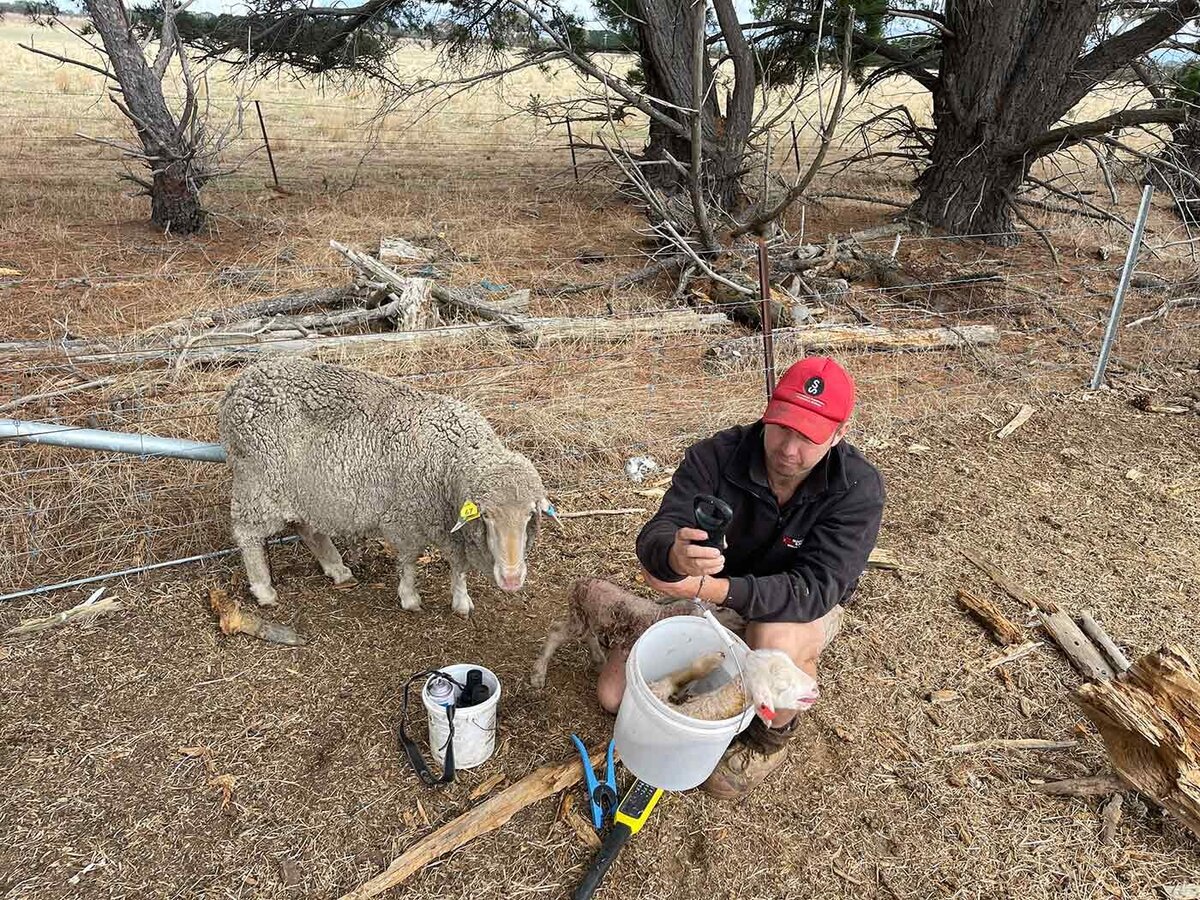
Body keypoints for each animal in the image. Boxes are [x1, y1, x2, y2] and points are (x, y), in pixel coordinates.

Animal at [218, 355, 554, 619]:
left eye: (530, 515)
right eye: (485, 516)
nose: (512, 579)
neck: (451, 460)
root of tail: (239, 384)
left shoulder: (451, 527)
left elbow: (457, 565)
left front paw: (461, 600)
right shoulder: (406, 518)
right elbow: (409, 559)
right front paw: (409, 597)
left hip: (305, 489)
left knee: (307, 527)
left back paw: (338, 570)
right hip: (258, 482)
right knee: (247, 534)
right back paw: (264, 589)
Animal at [532, 578, 700, 691]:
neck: (660, 615)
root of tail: (578, 583)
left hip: (590, 617)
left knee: (588, 634)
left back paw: (599, 660)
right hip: (579, 617)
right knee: (556, 631)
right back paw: (538, 676)